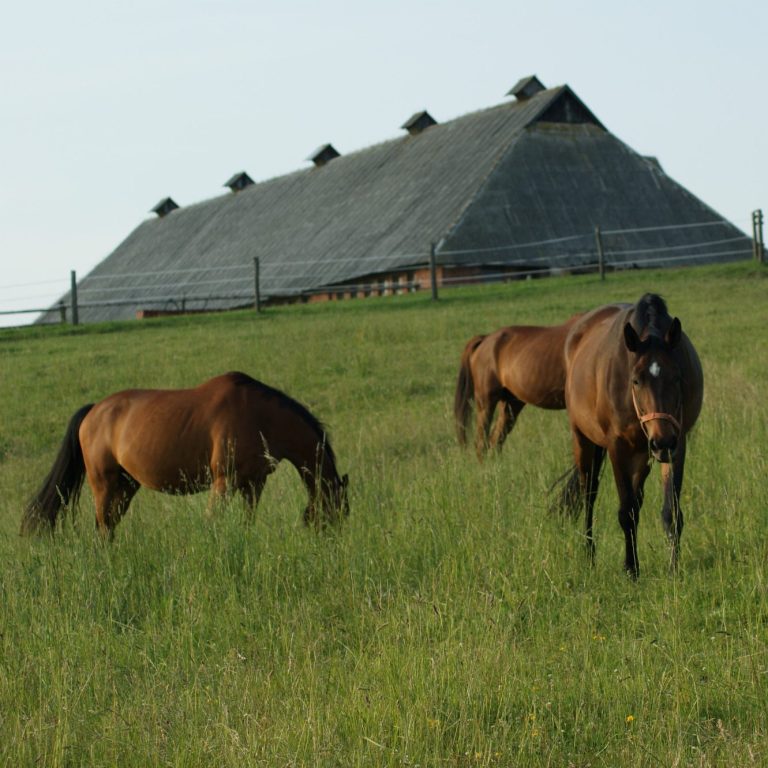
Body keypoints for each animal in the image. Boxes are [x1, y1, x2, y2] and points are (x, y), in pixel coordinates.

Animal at [21, 372, 349, 538]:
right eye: (337, 513)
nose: (331, 542)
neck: (260, 416)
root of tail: (93, 412)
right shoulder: (223, 483)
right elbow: (213, 522)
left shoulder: (254, 484)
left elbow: (247, 522)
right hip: (104, 484)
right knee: (102, 528)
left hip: (126, 486)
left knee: (110, 526)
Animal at [560, 294, 703, 578]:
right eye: (636, 380)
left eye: (677, 377)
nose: (661, 441)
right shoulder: (618, 448)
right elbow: (626, 512)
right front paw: (631, 568)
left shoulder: (677, 444)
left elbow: (670, 511)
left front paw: (673, 567)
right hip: (584, 440)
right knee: (588, 494)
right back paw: (589, 555)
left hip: (642, 456)